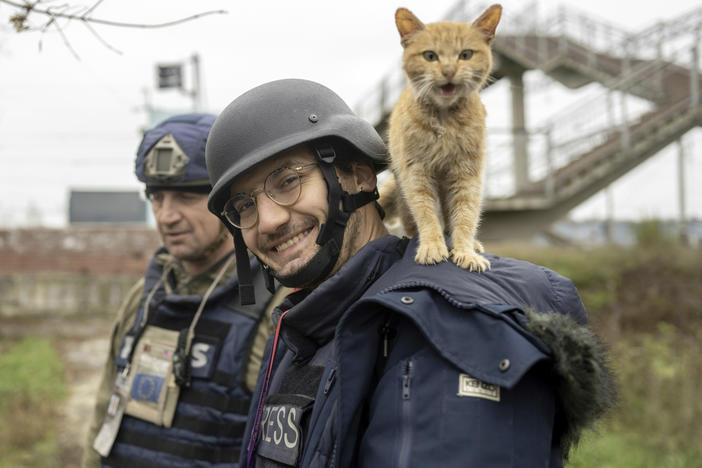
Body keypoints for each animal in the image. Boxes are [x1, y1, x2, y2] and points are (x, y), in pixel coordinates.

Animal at [384, 4, 500, 270]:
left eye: (465, 54)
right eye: (430, 56)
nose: (448, 70)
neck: (445, 121)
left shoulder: (467, 174)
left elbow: (465, 216)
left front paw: (466, 251)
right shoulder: (416, 174)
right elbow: (426, 214)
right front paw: (432, 247)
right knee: (411, 222)